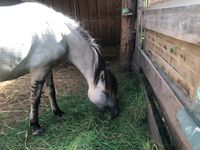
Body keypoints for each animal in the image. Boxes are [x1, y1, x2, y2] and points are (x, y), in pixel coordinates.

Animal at [0, 1, 119, 135]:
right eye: (105, 92)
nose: (115, 114)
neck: (58, 33)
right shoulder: (38, 70)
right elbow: (35, 98)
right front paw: (35, 126)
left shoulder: (47, 67)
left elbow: (51, 90)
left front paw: (58, 113)